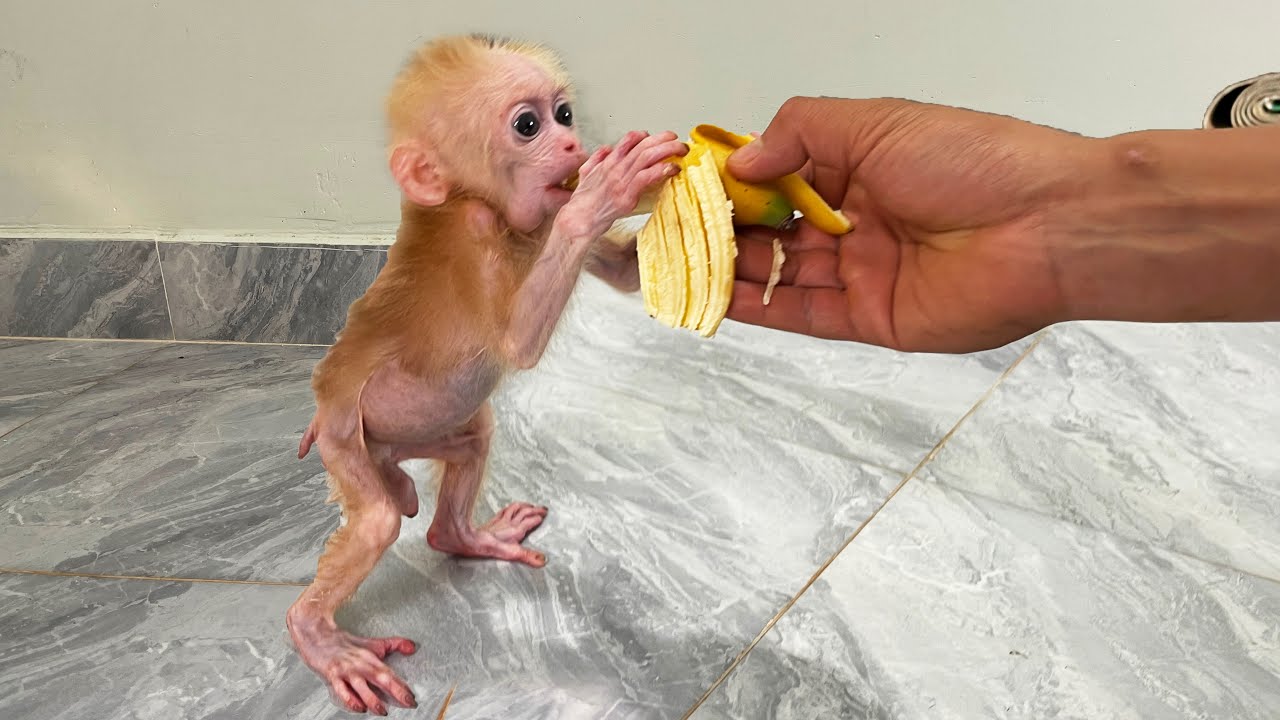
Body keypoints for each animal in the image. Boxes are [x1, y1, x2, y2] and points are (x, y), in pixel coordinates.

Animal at [286, 34, 689, 715]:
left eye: (564, 114)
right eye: (528, 126)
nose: (574, 146)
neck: (493, 211)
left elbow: (626, 275)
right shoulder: (477, 236)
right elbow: (517, 345)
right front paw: (605, 190)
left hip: (418, 438)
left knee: (471, 444)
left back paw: (460, 536)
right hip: (347, 440)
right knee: (377, 522)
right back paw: (319, 636)